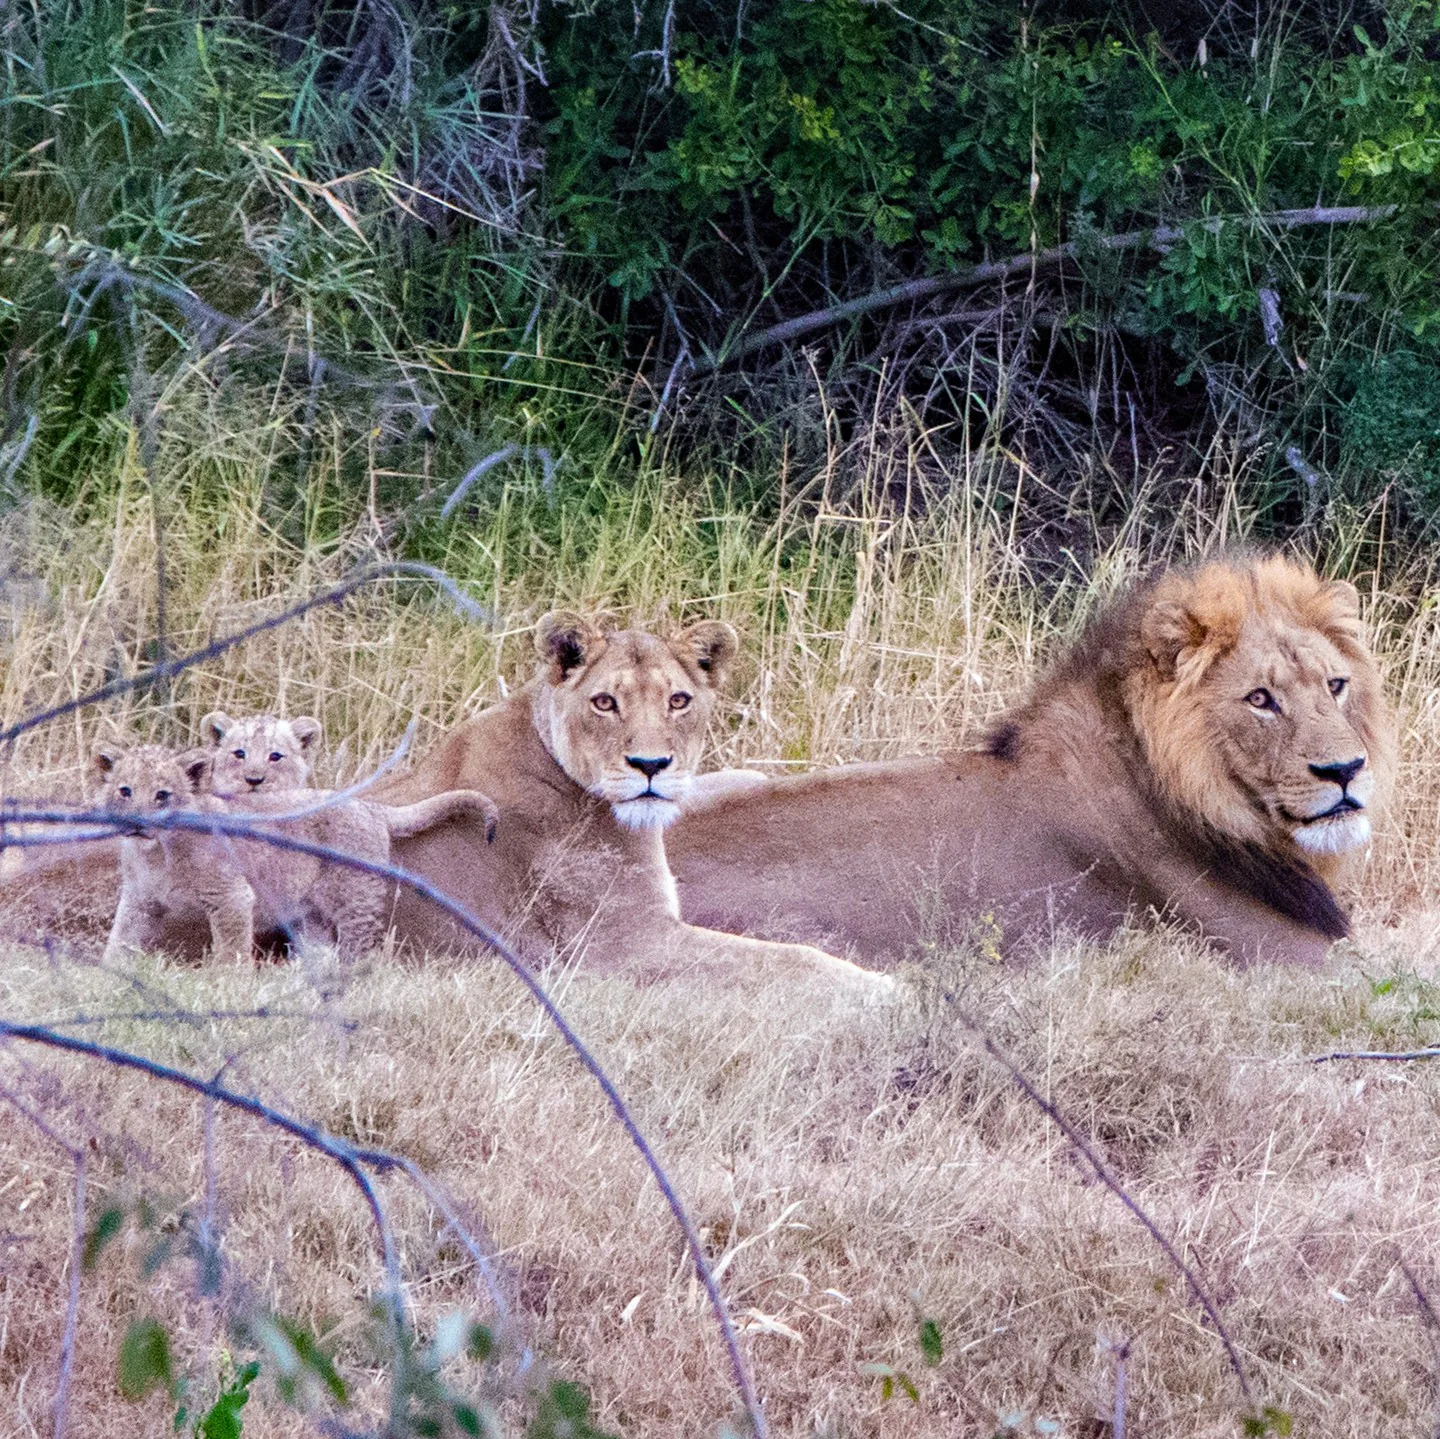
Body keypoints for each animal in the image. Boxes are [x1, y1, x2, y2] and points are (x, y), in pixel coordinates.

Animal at [94, 743, 499, 964]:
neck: (157, 852)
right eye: (125, 791)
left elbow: (231, 950)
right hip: (309, 916)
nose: (136, 823)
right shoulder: (140, 900)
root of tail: (369, 806)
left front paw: (227, 983)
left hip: (355, 897)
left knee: (360, 946)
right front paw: (107, 979)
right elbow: (120, 939)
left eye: (162, 795)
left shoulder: (232, 898)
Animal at [374, 612, 892, 992]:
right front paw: (883, 989)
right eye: (604, 702)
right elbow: (789, 959)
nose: (651, 764)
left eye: (678, 701)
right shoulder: (627, 944)